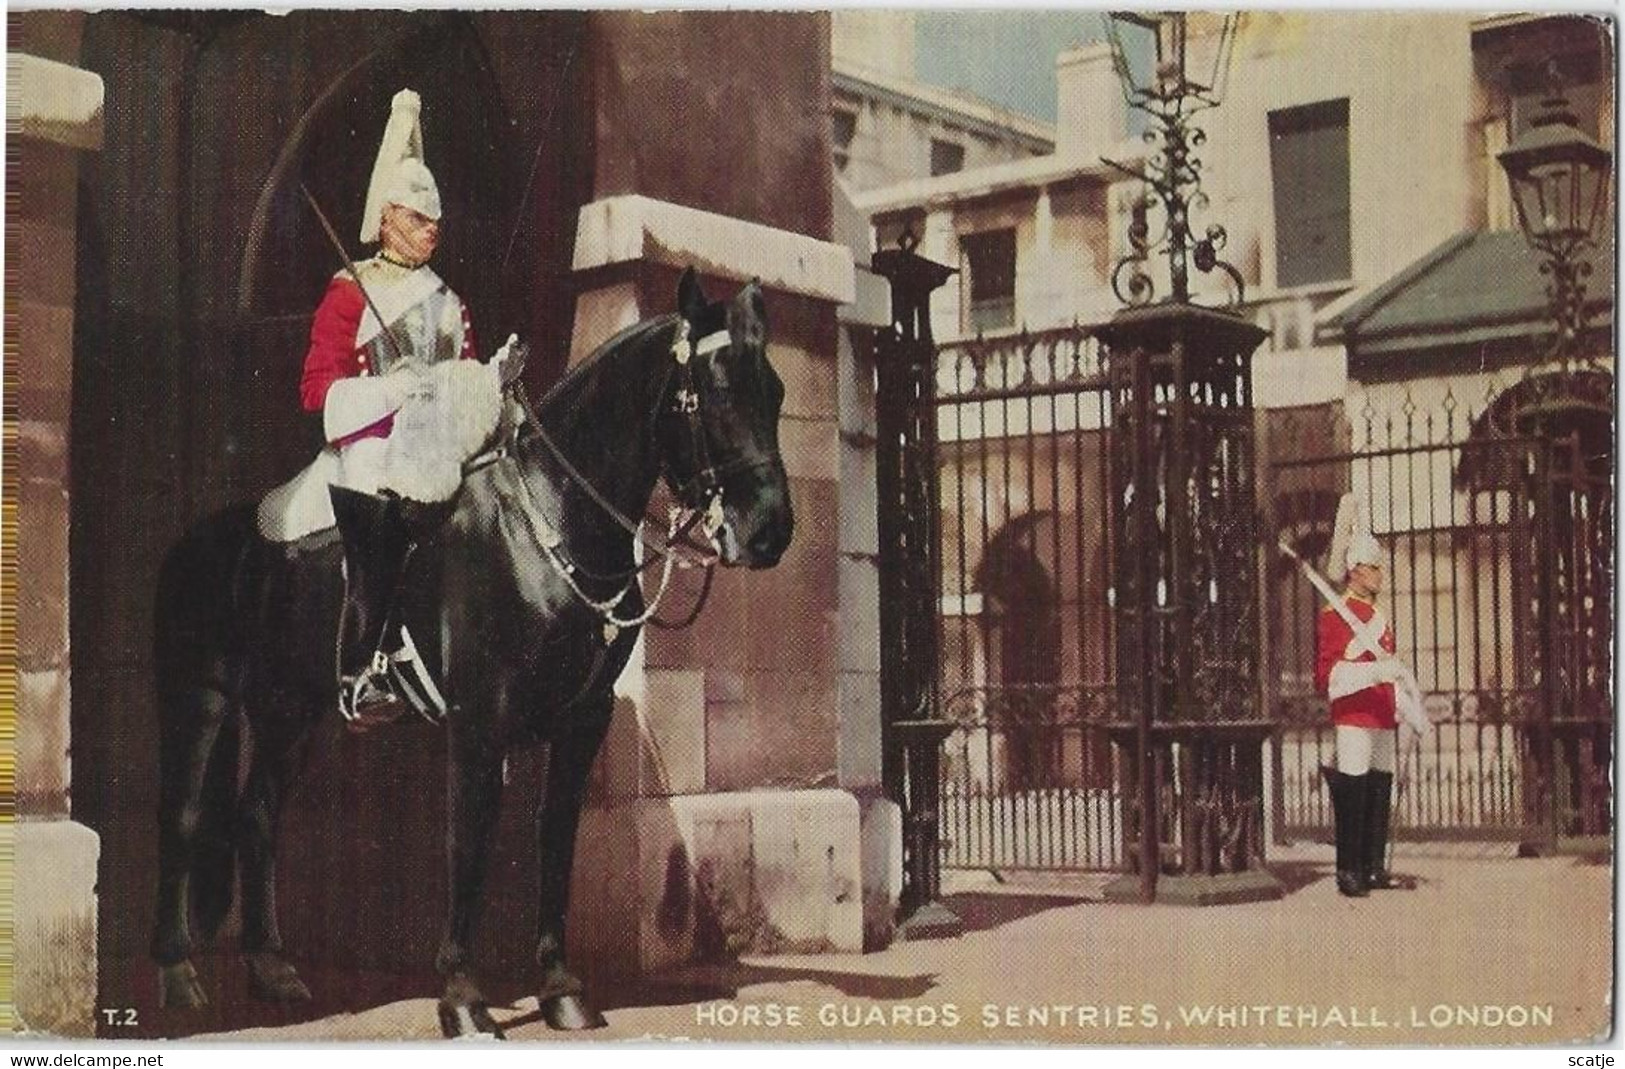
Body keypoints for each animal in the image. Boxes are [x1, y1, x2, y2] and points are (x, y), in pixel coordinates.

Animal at [149, 271, 796, 1039]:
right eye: (716, 390)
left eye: (776, 390)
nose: (770, 531)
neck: (549, 522)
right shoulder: (479, 720)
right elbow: (470, 840)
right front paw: (461, 995)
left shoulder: (581, 721)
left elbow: (555, 837)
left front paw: (561, 988)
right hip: (199, 699)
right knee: (184, 815)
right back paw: (177, 973)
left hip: (291, 713)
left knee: (257, 815)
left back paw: (272, 968)